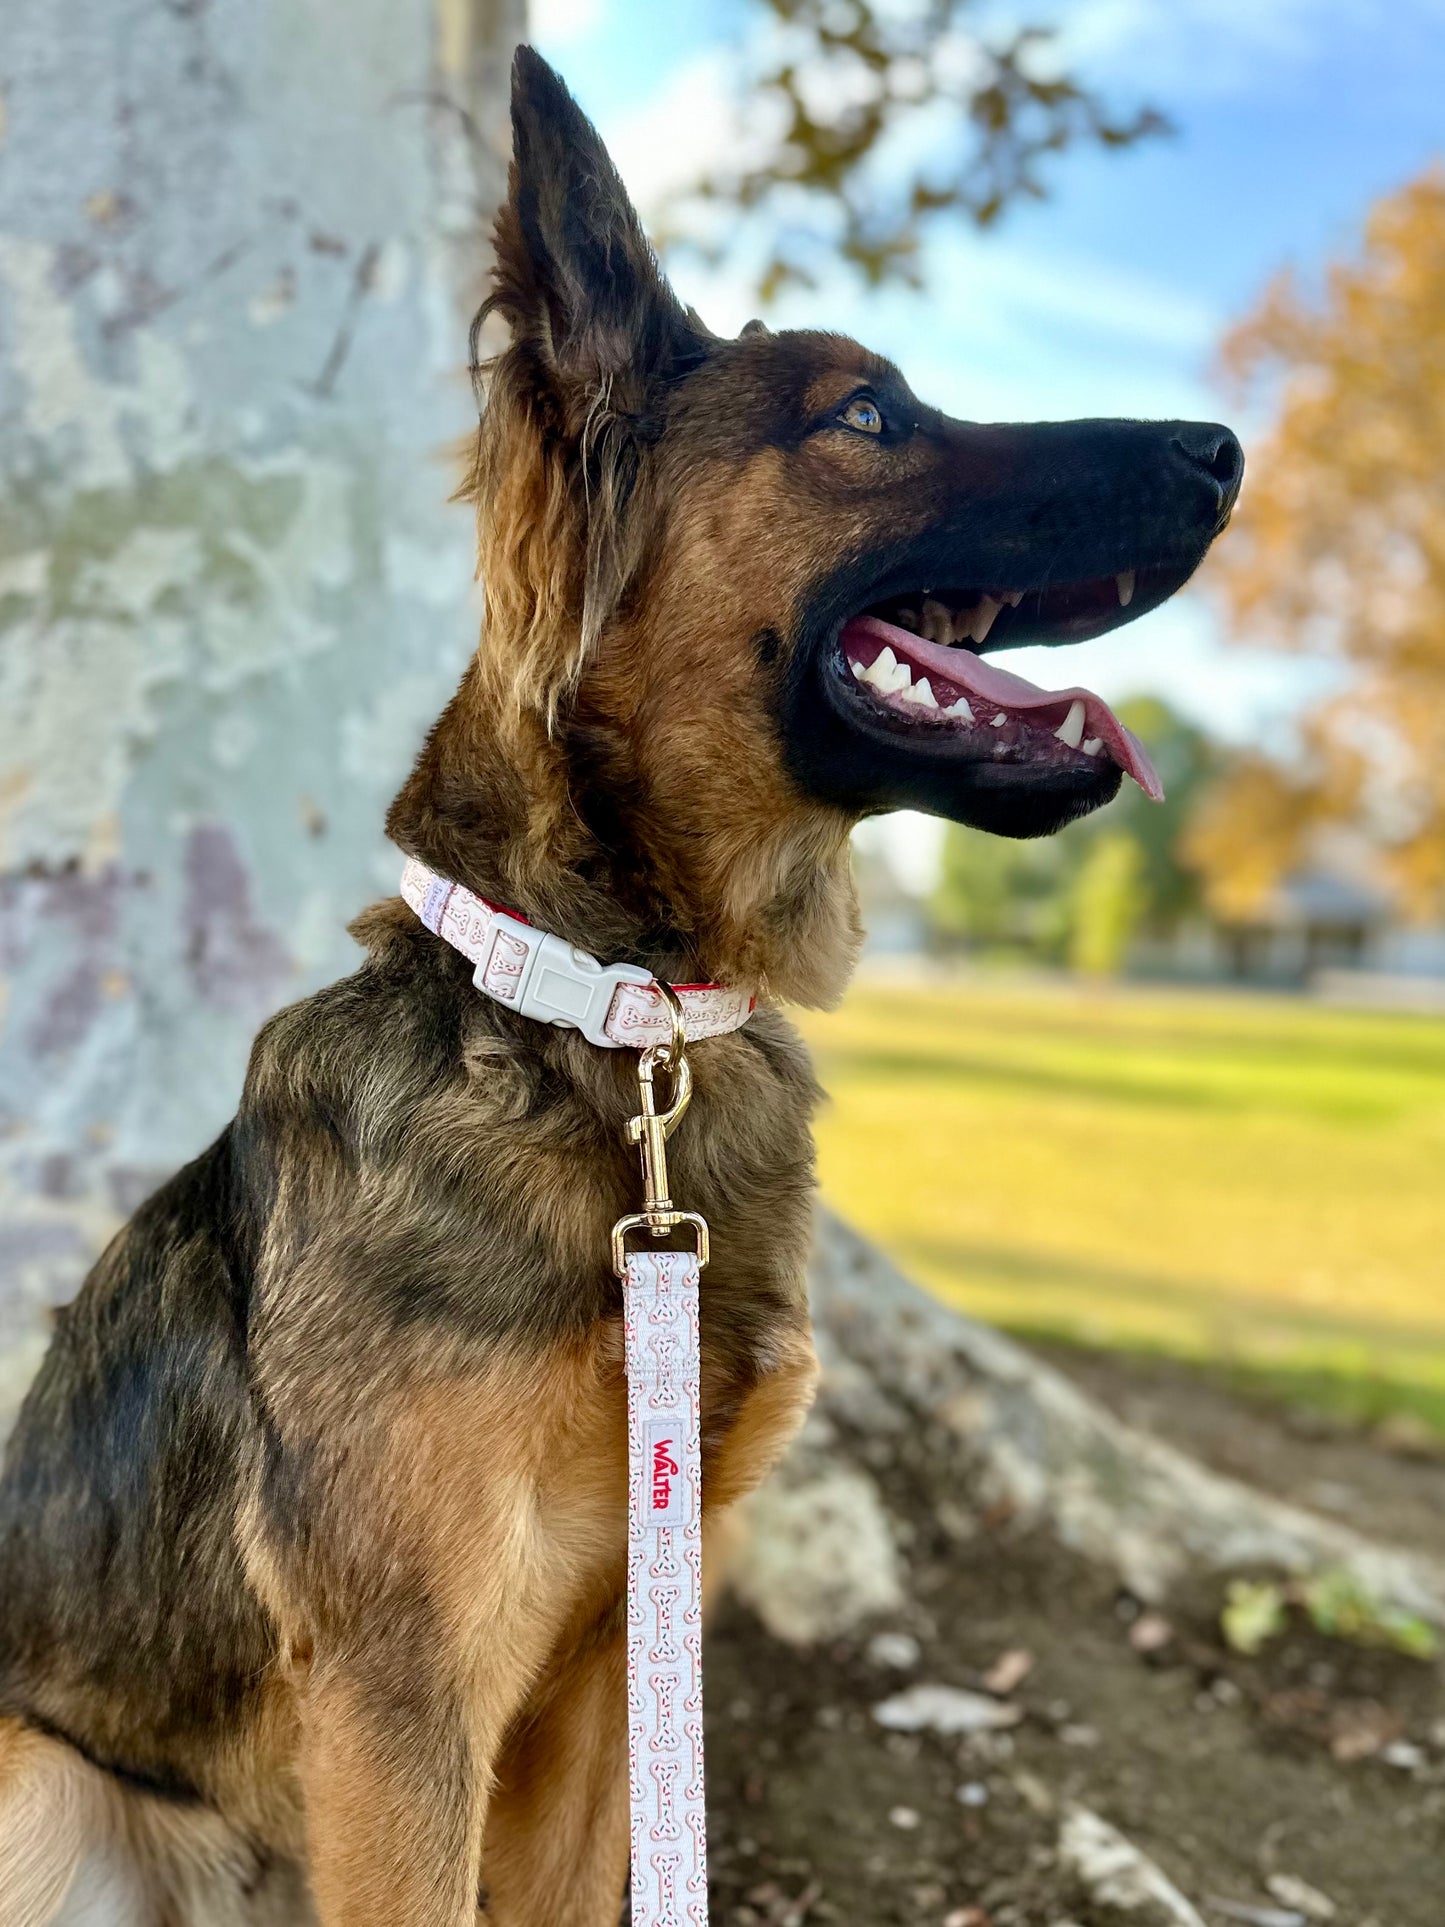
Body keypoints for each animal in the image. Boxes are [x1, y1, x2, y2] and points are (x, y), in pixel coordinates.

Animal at [0, 45, 1248, 1927]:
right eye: (865, 417)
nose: (1226, 447)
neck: (612, 1019)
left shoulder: (621, 1656)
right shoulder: (404, 1694)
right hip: (44, 1775)